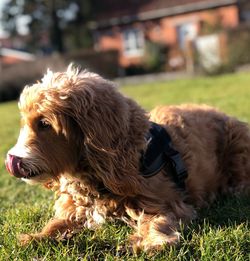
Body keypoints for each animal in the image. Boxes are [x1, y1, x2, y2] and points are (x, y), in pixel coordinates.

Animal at [5, 64, 250, 250]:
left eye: (44, 123)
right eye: (24, 122)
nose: (12, 159)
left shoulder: (165, 202)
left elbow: (156, 221)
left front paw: (152, 241)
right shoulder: (76, 207)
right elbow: (57, 223)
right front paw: (36, 237)